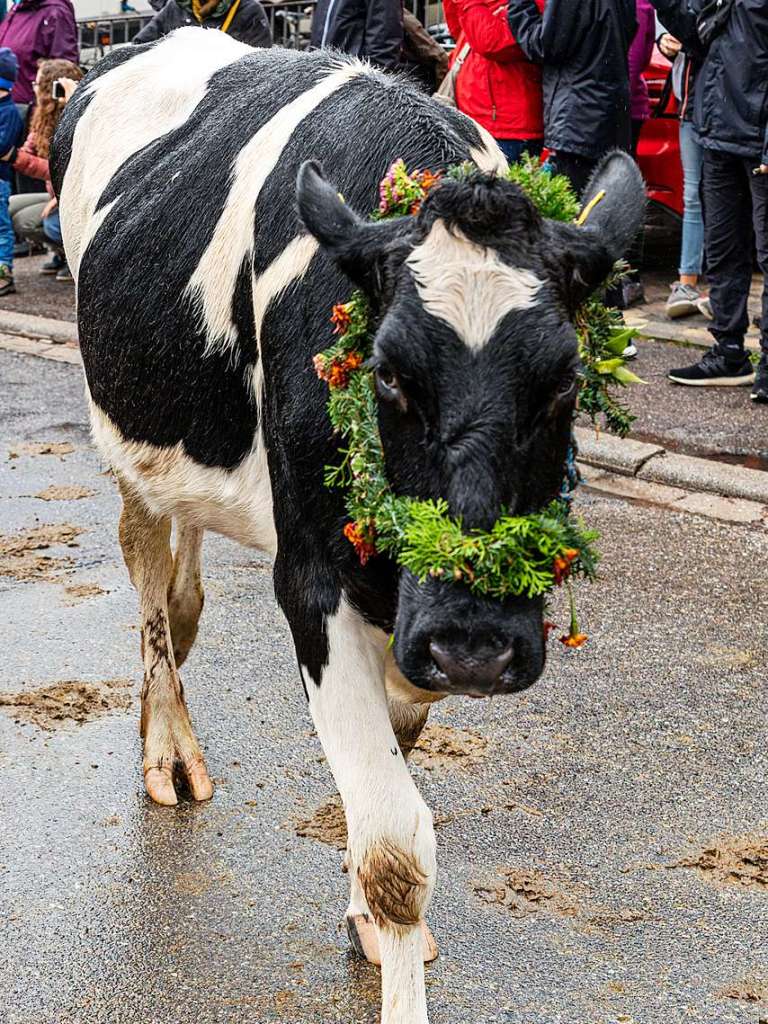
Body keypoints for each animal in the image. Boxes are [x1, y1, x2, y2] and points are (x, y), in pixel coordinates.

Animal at [51, 29, 647, 1024]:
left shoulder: (405, 625)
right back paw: (168, 747)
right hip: (124, 431)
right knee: (146, 573)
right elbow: (397, 848)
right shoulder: (315, 583)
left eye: (566, 380)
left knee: (183, 585)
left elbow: (394, 770)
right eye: (388, 373)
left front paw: (366, 921)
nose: (475, 645)